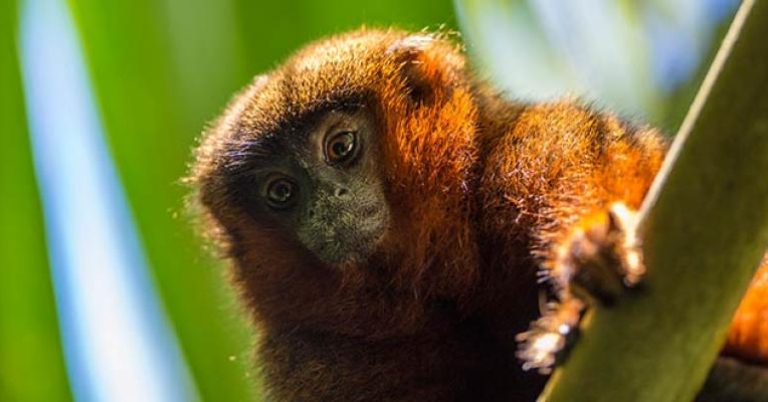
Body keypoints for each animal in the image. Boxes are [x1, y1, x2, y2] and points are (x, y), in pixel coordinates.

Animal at [189, 28, 768, 401]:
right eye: (282, 191)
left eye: (341, 147)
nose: (328, 203)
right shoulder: (306, 355)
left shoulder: (540, 143)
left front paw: (592, 254)